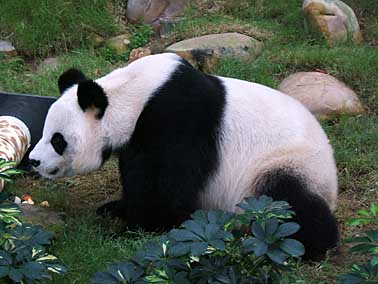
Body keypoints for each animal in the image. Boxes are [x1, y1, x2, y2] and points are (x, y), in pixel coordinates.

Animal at [28, 52, 336, 258]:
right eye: (45, 132)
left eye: (58, 140)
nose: (34, 161)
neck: (133, 93)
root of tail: (332, 181)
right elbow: (135, 173)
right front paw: (116, 208)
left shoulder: (179, 121)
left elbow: (166, 184)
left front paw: (135, 229)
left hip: (283, 164)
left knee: (285, 202)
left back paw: (307, 243)